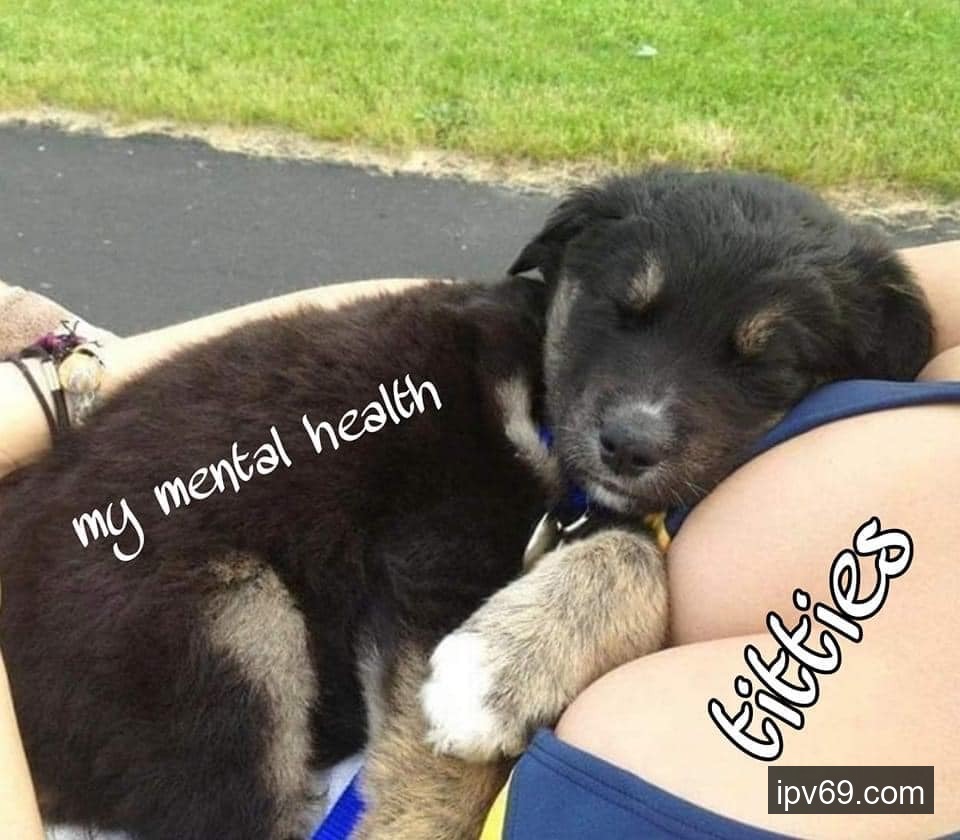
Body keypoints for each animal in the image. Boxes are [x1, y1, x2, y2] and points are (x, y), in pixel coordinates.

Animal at [0, 169, 932, 840]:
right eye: (622, 310)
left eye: (764, 361)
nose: (628, 445)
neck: (542, 401)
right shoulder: (432, 553)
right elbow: (439, 766)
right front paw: (485, 689)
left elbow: (638, 549)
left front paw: (510, 660)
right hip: (225, 626)